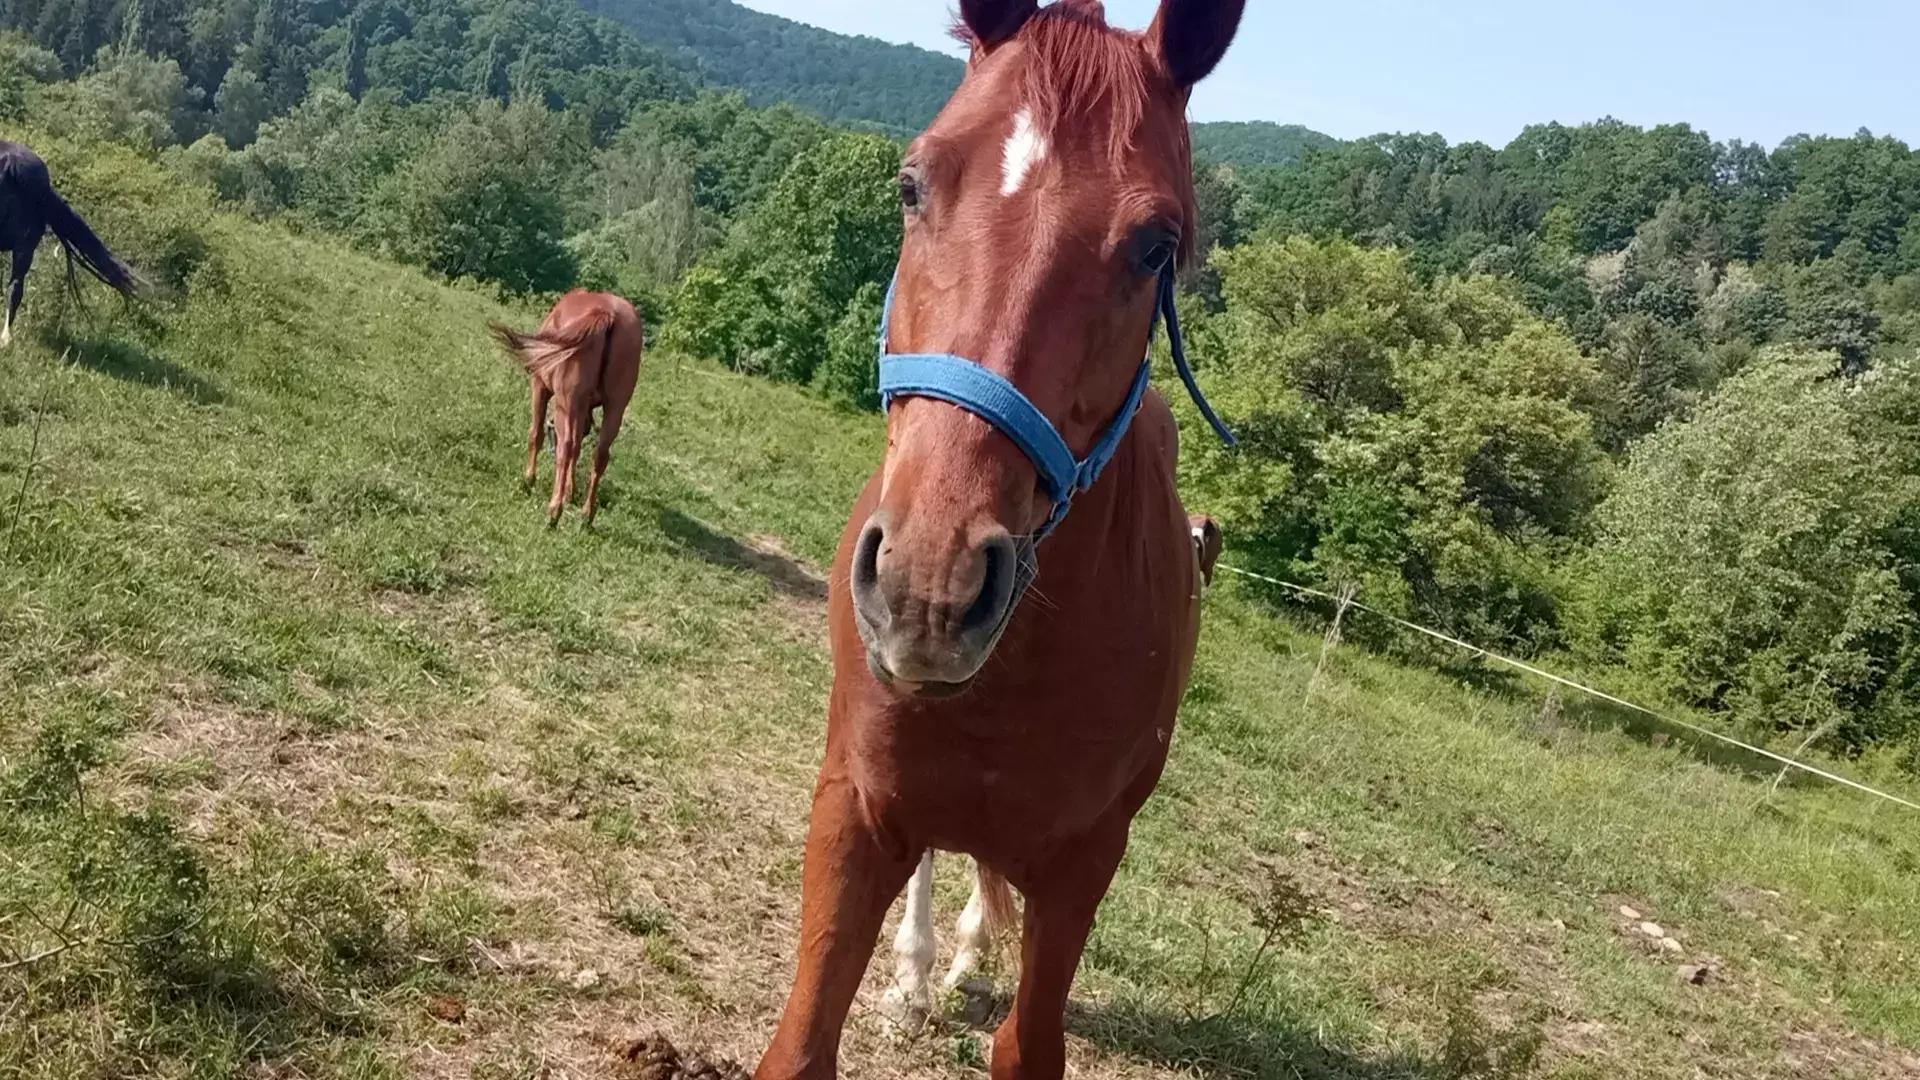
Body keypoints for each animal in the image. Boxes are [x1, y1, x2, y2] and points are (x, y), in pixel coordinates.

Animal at [487, 286, 645, 522]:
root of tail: (608, 313)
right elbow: (579, 446)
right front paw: (570, 491)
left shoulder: (540, 387)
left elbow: (536, 434)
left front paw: (529, 479)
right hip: (615, 408)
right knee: (600, 454)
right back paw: (587, 515)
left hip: (566, 401)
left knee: (567, 445)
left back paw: (554, 511)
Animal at [748, 2, 1244, 1076]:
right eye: (912, 184)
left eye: (1157, 246)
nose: (929, 585)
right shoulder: (855, 811)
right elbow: (803, 1042)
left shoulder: (1084, 865)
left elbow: (1028, 1037)